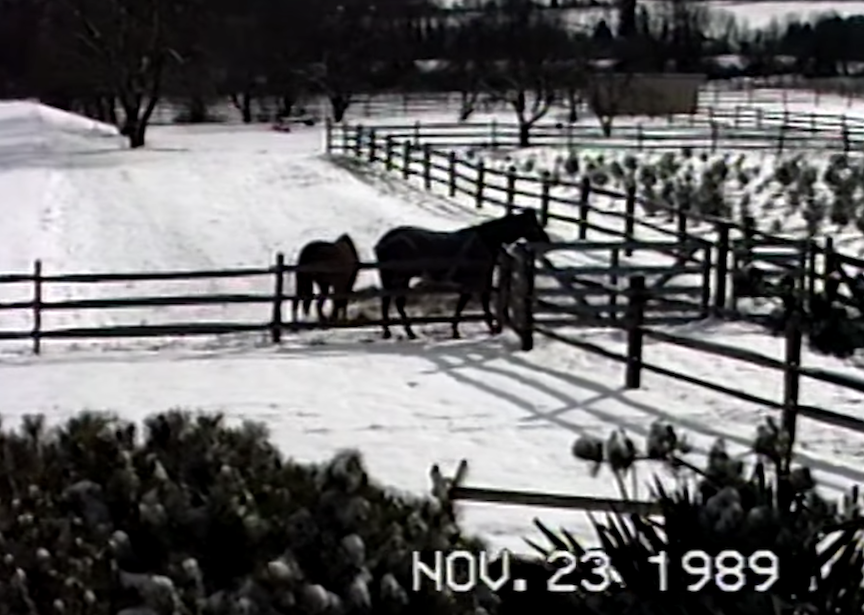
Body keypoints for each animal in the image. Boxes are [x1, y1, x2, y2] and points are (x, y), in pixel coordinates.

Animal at [372, 209, 548, 340]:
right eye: (534, 224)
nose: (545, 238)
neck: (485, 241)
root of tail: (384, 241)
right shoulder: (477, 280)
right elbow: (477, 302)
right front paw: (487, 329)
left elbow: (465, 302)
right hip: (401, 277)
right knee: (397, 302)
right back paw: (409, 332)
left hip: (389, 276)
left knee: (387, 300)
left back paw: (389, 331)